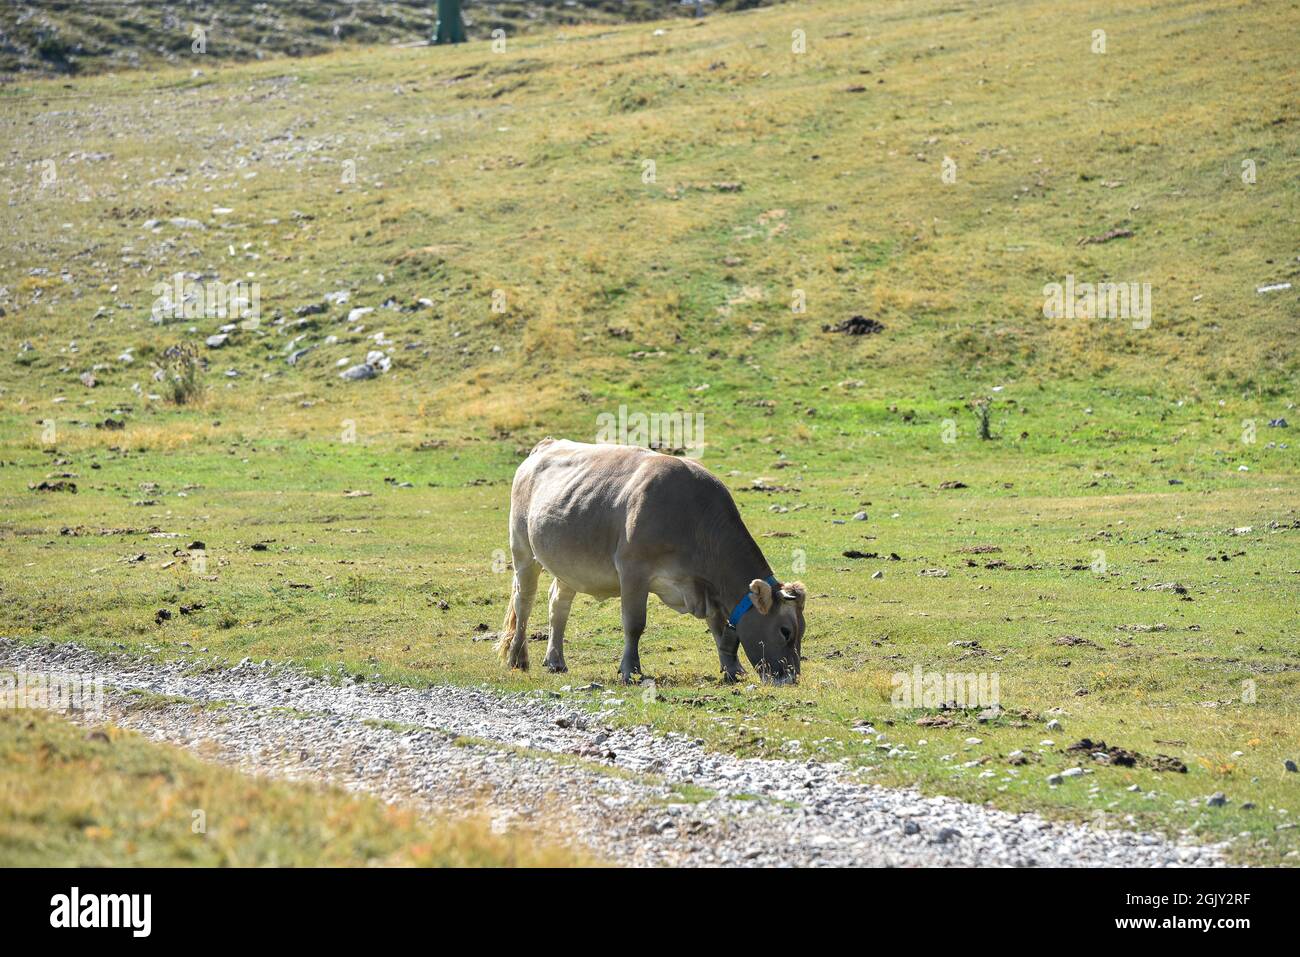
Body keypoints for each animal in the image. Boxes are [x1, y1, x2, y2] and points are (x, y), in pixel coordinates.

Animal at [493, 436, 806, 686]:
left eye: (801, 630)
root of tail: (547, 444)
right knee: (523, 602)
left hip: (569, 564)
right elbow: (634, 624)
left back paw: (556, 660)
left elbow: (721, 629)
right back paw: (517, 658)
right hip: (523, 550)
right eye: (785, 631)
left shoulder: (706, 588)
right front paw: (629, 670)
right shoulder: (633, 571)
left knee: (558, 604)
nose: (791, 678)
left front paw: (732, 669)